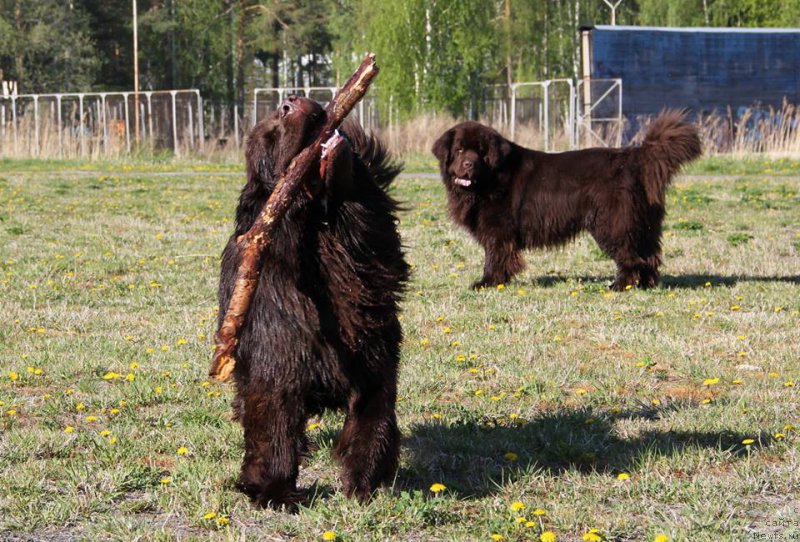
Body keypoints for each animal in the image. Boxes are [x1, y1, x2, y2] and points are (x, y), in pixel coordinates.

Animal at [217, 95, 410, 512]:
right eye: (271, 137)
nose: (289, 100)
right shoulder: (277, 370)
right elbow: (273, 434)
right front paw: (273, 492)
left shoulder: (376, 362)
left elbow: (373, 425)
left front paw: (363, 486)